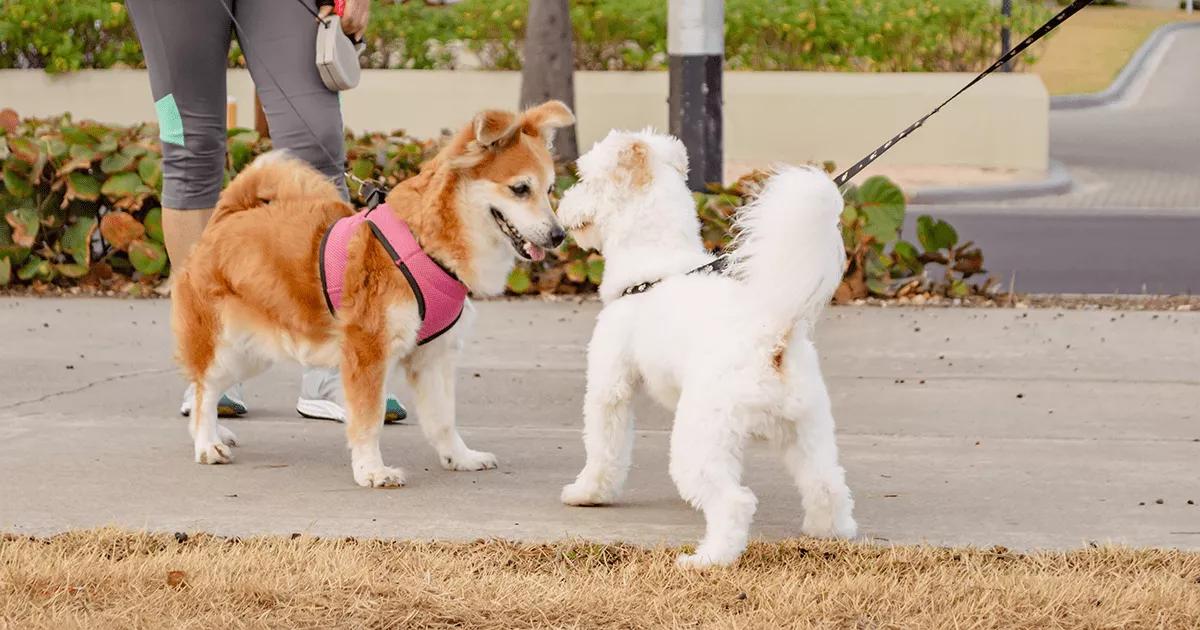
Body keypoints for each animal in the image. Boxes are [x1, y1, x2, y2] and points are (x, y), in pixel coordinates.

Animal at [172, 102, 576, 487]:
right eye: (520, 189)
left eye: (550, 190)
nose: (559, 235)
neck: (424, 243)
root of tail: (226, 217)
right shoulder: (368, 351)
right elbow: (369, 419)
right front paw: (371, 470)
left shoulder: (433, 357)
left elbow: (443, 419)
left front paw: (460, 458)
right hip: (225, 345)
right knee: (204, 389)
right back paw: (207, 443)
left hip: (253, 352)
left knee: (209, 388)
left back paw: (215, 432)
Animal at [556, 130, 859, 566]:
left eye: (586, 179)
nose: (559, 208)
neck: (655, 264)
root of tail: (772, 341)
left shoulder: (608, 387)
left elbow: (603, 448)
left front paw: (587, 493)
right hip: (807, 429)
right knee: (827, 483)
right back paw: (831, 533)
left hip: (699, 439)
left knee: (735, 502)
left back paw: (708, 559)